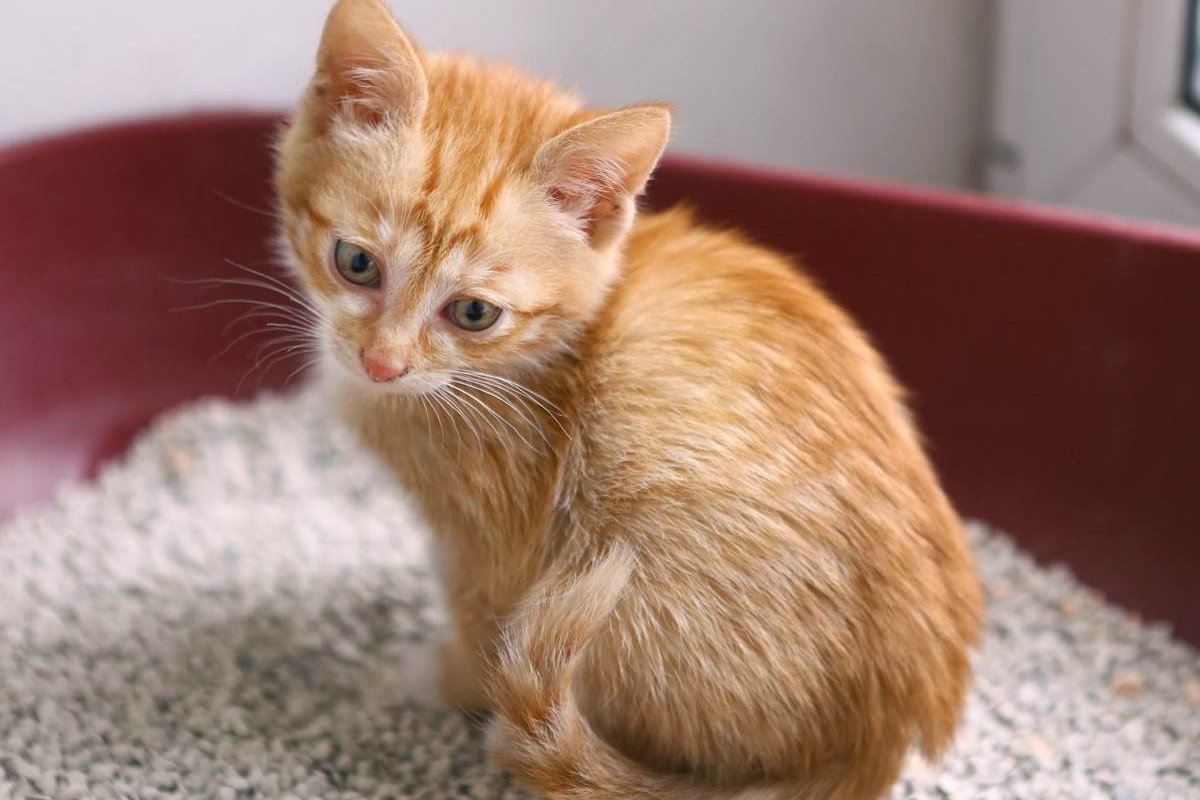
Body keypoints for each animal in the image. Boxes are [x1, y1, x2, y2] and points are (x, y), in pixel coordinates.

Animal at [276, 3, 979, 796]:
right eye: (356, 263)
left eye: (474, 313)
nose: (381, 363)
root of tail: (878, 744)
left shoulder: (498, 543)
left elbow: (480, 625)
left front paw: (436, 679)